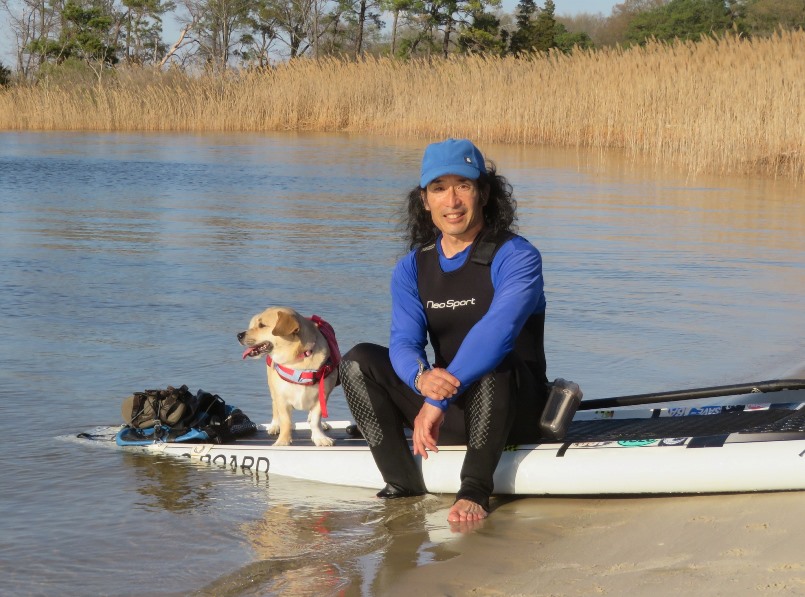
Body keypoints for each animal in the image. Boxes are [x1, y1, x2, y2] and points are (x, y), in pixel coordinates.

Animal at [239, 308, 340, 448]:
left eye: (262, 325)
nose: (239, 335)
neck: (298, 359)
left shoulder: (322, 396)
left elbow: (315, 420)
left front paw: (319, 437)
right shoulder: (281, 397)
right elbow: (285, 421)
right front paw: (283, 441)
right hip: (272, 388)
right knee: (274, 406)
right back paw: (275, 425)